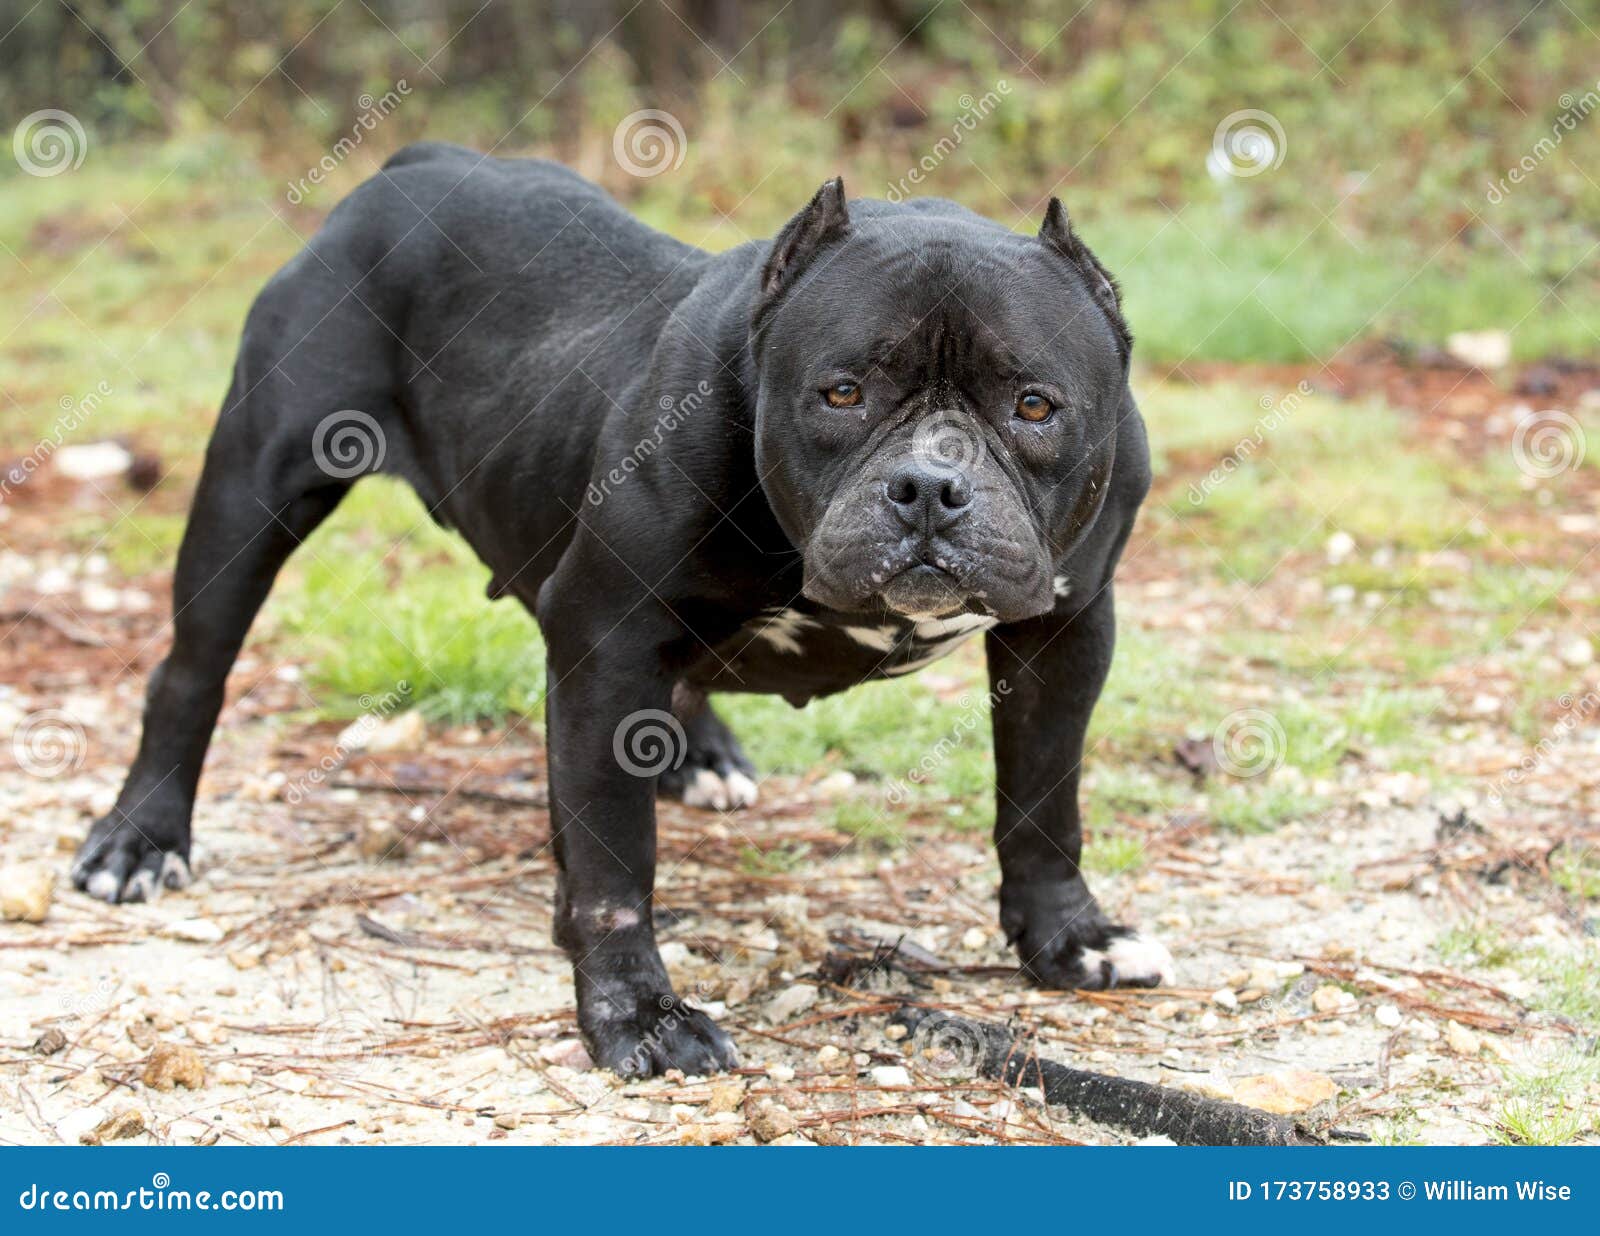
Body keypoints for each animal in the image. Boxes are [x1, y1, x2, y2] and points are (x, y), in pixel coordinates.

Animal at [72, 142, 1177, 1069]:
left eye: (1033, 405)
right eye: (841, 393)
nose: (930, 487)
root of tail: (411, 163)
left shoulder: (1065, 632)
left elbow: (1043, 799)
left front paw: (1069, 939)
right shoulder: (604, 645)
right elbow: (612, 865)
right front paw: (637, 1015)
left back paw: (700, 752)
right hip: (250, 495)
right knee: (190, 670)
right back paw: (140, 841)